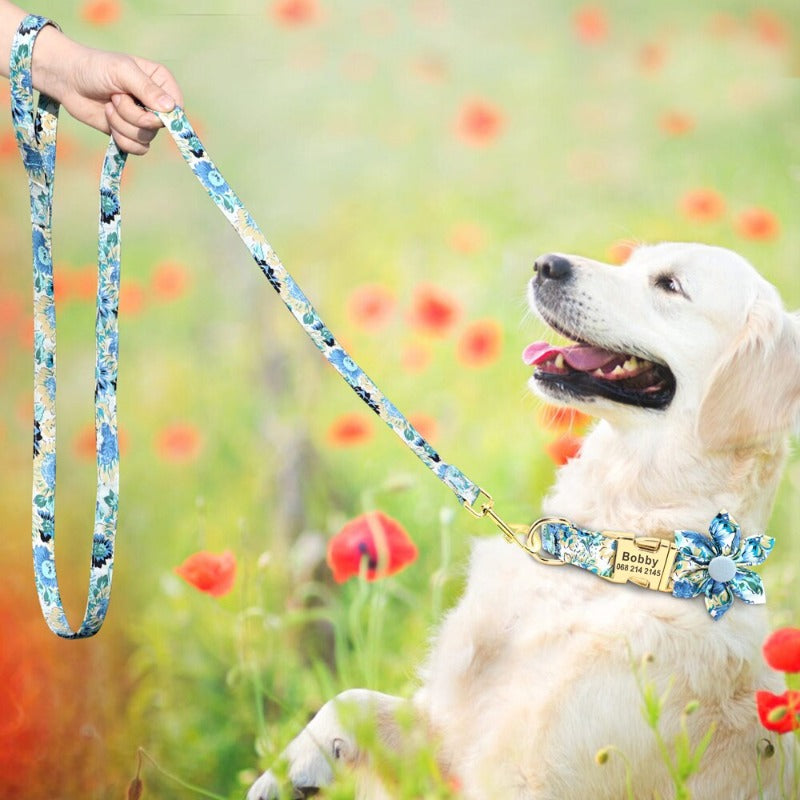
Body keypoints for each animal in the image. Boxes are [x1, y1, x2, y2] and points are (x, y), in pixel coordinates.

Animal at [250, 244, 800, 800]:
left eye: (670, 284)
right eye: (631, 260)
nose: (546, 265)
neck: (604, 554)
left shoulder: (526, 775)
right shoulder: (456, 727)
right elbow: (351, 698)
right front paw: (289, 769)